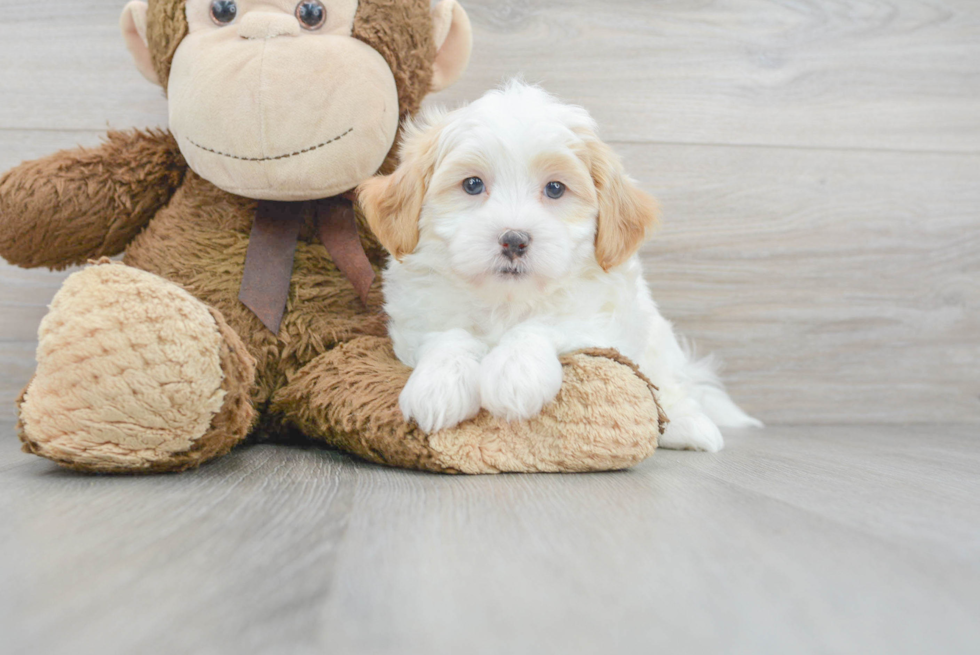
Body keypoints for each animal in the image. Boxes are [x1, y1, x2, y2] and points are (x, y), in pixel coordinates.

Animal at [358, 80, 756, 452]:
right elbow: (447, 335)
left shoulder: (602, 321)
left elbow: (544, 325)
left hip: (658, 338)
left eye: (555, 189)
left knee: (671, 384)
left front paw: (515, 373)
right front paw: (439, 383)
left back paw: (688, 425)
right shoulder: (417, 318)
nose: (514, 240)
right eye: (472, 184)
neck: (505, 302)